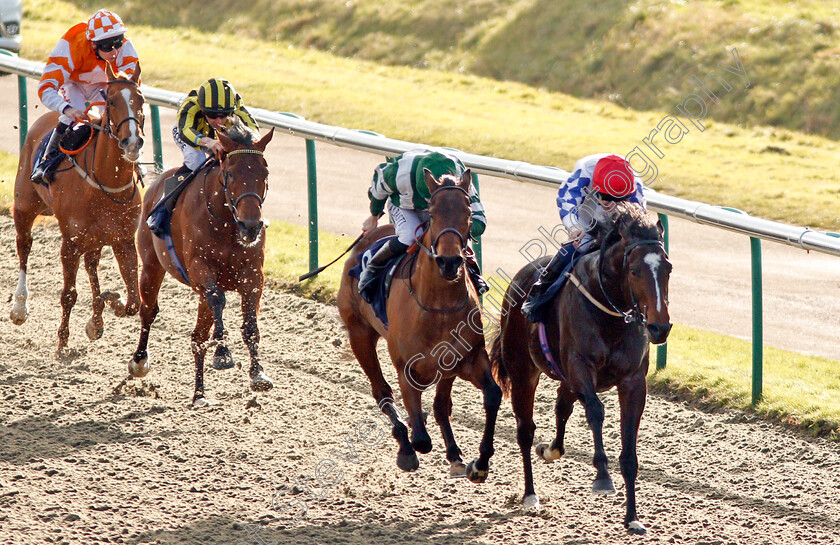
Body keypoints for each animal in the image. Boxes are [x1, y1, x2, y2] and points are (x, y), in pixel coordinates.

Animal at [11, 63, 144, 352]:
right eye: (111, 100)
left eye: (141, 100)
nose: (132, 142)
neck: (106, 182)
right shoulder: (70, 242)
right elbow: (68, 294)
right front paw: (62, 342)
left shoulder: (124, 240)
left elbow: (134, 302)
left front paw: (108, 303)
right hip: (24, 206)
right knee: (24, 246)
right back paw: (19, 307)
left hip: (94, 238)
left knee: (92, 264)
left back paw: (97, 317)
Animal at [128, 121, 274, 406]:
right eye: (229, 174)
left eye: (265, 172)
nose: (251, 225)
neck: (226, 222)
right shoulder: (200, 269)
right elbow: (217, 299)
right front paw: (223, 353)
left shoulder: (253, 275)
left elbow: (250, 325)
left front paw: (258, 373)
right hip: (151, 265)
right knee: (148, 310)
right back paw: (140, 361)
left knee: (197, 337)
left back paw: (199, 393)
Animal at [336, 169, 506, 480]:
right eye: (433, 211)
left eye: (467, 212)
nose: (450, 261)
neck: (438, 305)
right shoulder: (407, 368)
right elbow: (421, 439)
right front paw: (413, 439)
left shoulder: (467, 359)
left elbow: (491, 395)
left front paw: (479, 461)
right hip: (359, 334)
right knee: (382, 393)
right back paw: (405, 445)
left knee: (440, 405)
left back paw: (452, 453)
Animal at [488, 202, 672, 532]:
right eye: (634, 271)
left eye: (668, 268)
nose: (659, 327)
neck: (610, 311)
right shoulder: (580, 367)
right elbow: (596, 411)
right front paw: (602, 477)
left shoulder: (633, 381)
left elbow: (629, 449)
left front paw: (632, 517)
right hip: (523, 372)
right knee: (525, 430)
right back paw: (530, 495)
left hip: (564, 378)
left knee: (562, 407)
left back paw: (550, 450)